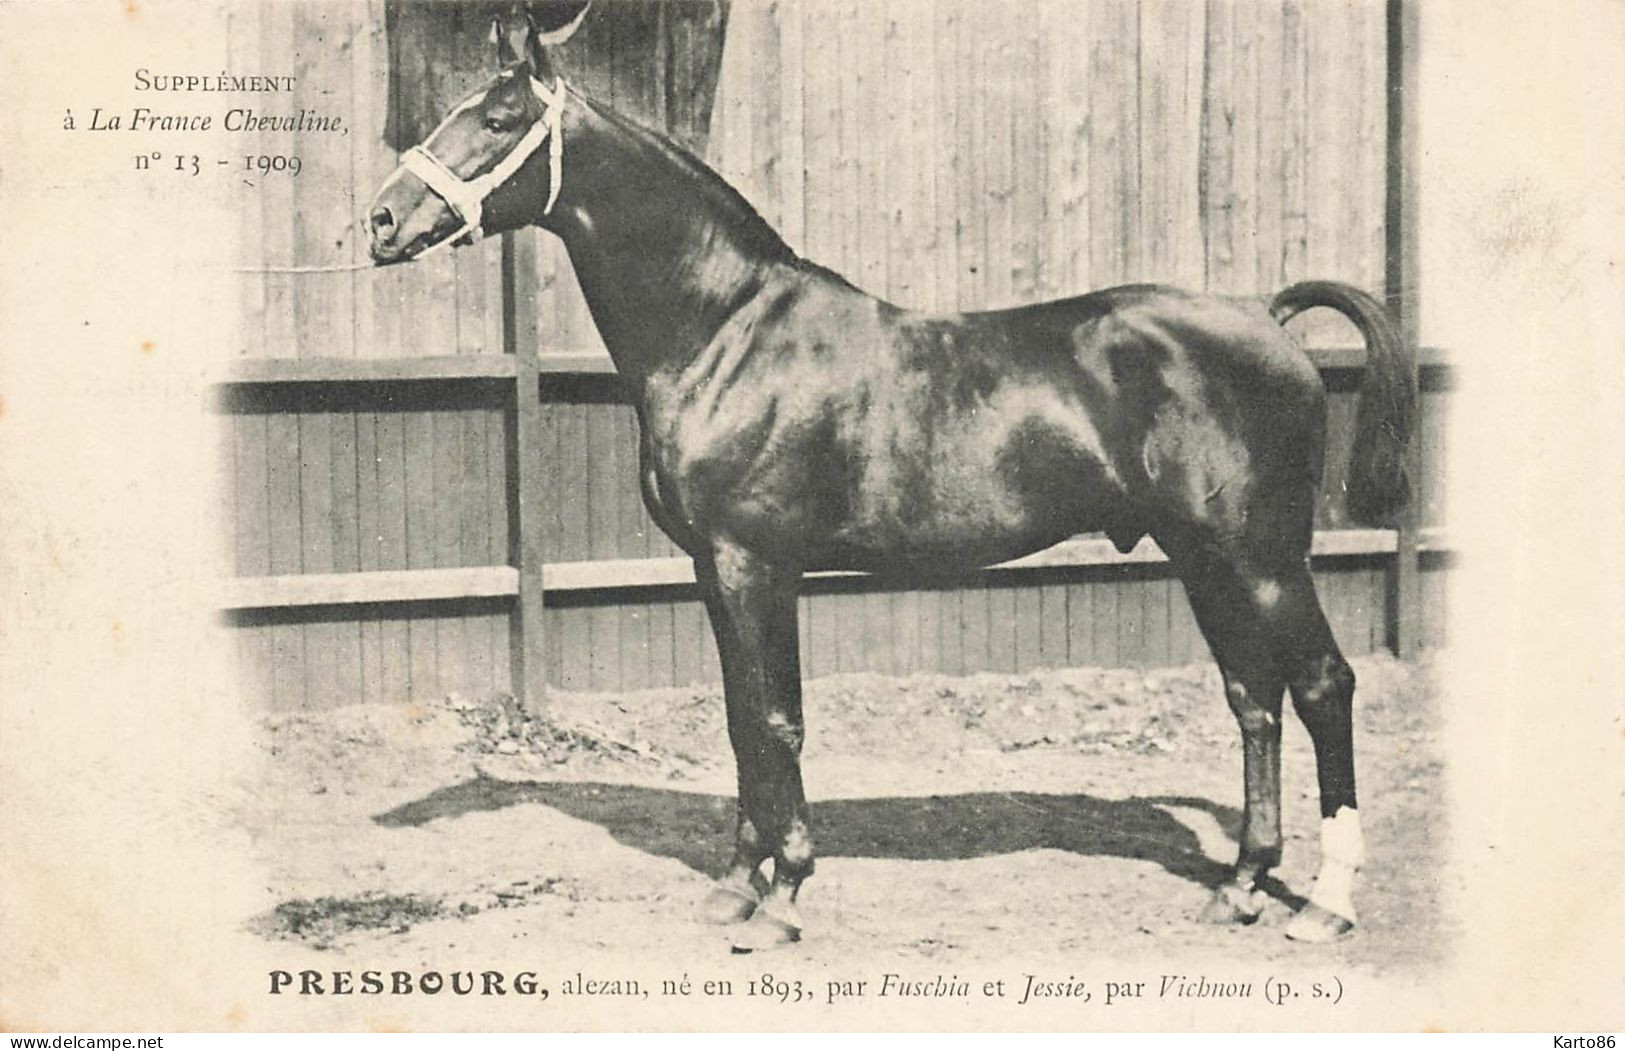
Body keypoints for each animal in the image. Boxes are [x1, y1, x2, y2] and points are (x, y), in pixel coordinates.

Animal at [365, 2, 1410, 955]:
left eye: (498, 119)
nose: (380, 220)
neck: (726, 330)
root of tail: (1265, 314)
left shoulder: (756, 565)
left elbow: (777, 720)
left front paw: (783, 896)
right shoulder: (713, 570)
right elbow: (740, 722)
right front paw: (735, 886)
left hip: (1262, 557)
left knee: (1322, 685)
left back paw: (1325, 902)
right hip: (1203, 556)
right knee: (1252, 698)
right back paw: (1240, 885)